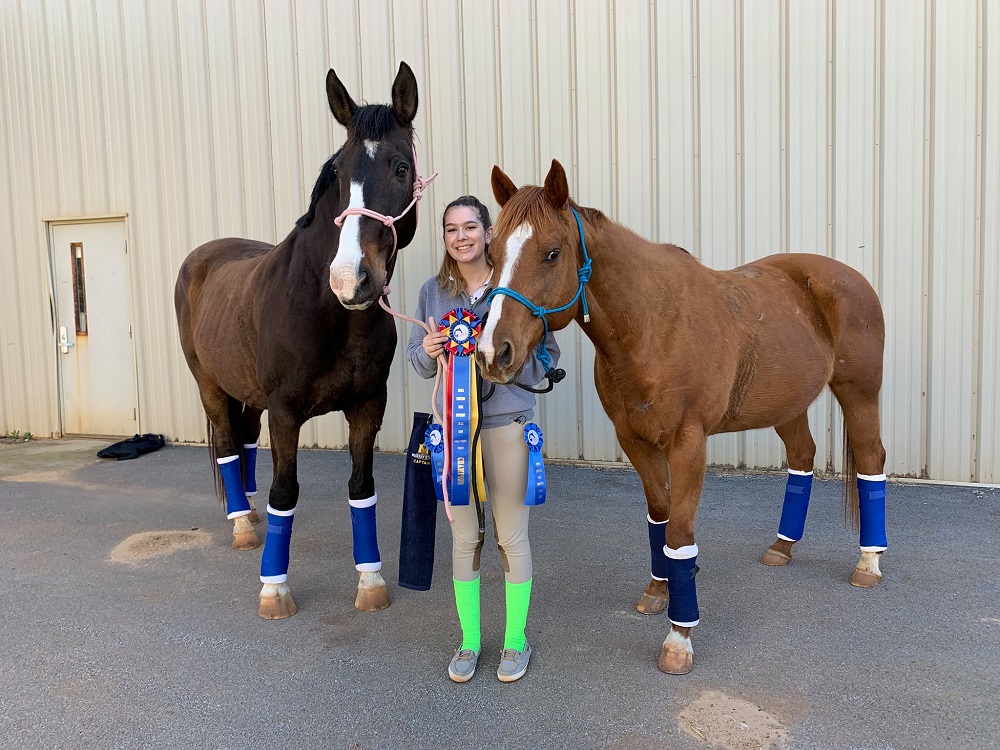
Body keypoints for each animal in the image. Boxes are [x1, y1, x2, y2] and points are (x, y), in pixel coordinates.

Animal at [176, 60, 426, 624]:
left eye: (401, 168)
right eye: (336, 173)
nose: (350, 279)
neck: (329, 312)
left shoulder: (367, 405)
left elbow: (361, 488)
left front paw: (370, 582)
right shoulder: (286, 410)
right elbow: (285, 491)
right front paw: (274, 590)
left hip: (248, 394)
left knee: (244, 441)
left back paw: (246, 512)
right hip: (208, 385)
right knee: (228, 444)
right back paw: (243, 526)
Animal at [478, 159, 892, 676]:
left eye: (552, 253)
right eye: (491, 252)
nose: (492, 352)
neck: (653, 326)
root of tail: (848, 276)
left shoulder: (688, 443)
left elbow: (679, 530)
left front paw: (679, 638)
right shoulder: (634, 440)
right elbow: (659, 515)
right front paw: (660, 590)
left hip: (860, 393)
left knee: (872, 460)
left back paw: (868, 564)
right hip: (788, 404)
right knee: (802, 456)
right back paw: (782, 547)